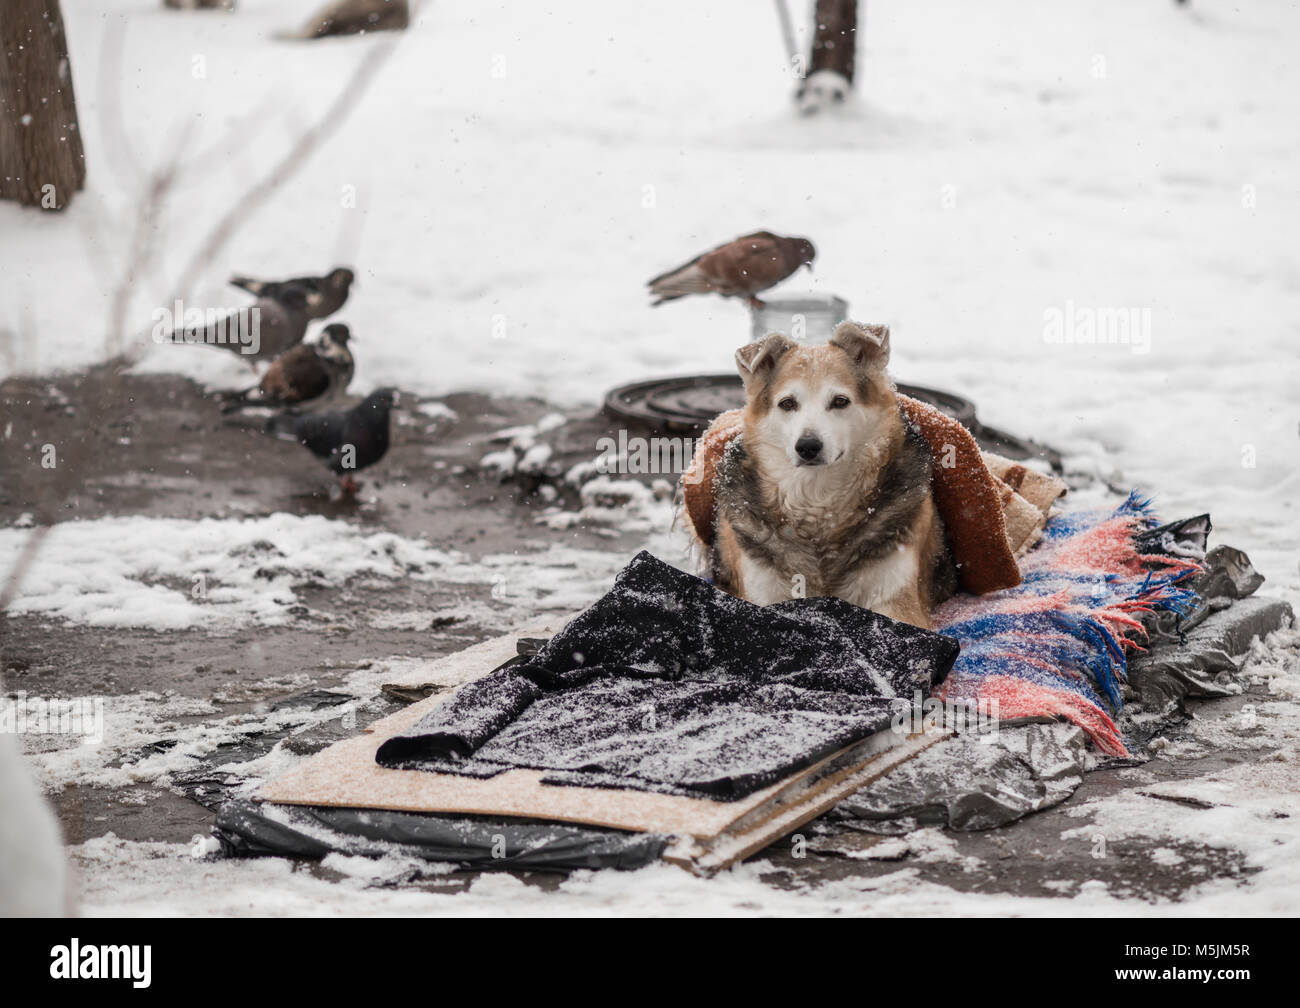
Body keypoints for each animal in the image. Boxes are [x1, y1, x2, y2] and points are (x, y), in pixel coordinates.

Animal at [712, 323, 956, 626]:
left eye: (840, 401)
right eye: (787, 403)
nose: (807, 446)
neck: (818, 503)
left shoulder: (899, 601)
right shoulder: (762, 594)